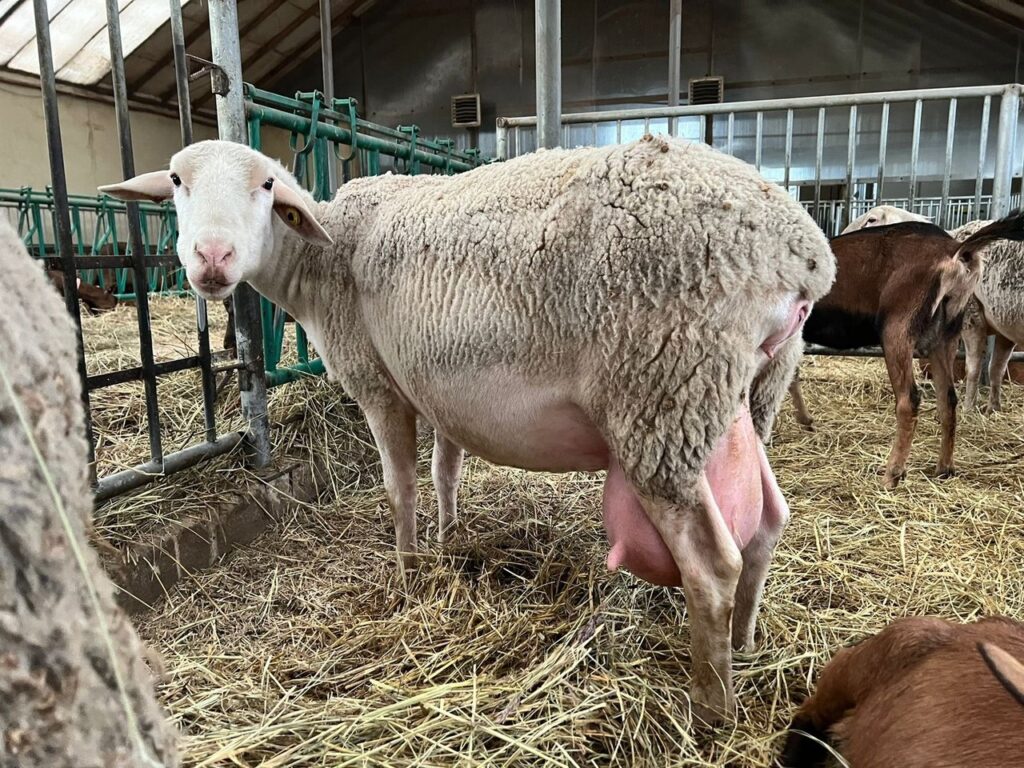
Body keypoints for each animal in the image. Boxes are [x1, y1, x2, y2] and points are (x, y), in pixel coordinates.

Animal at [99, 134, 836, 720]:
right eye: (176, 181)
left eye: (267, 184)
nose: (212, 258)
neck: (321, 261)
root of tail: (800, 255)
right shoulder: (436, 387)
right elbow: (444, 470)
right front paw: (450, 538)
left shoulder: (378, 381)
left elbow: (401, 485)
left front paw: (407, 567)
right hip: (743, 393)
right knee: (768, 523)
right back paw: (745, 643)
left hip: (660, 392)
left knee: (711, 565)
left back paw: (712, 705)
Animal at [951, 219, 1024, 414]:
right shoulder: (1004, 327)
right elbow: (995, 368)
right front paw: (992, 409)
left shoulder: (971, 316)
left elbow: (975, 368)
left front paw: (968, 409)